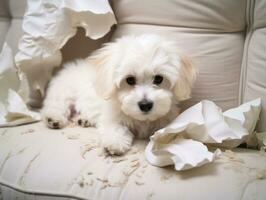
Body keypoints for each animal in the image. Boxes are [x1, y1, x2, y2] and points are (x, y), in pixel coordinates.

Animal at [41, 34, 195, 155]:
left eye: (158, 79)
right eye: (130, 80)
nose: (145, 105)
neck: (142, 120)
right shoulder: (111, 116)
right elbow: (115, 127)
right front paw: (114, 142)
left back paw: (84, 119)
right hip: (64, 91)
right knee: (56, 106)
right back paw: (53, 118)